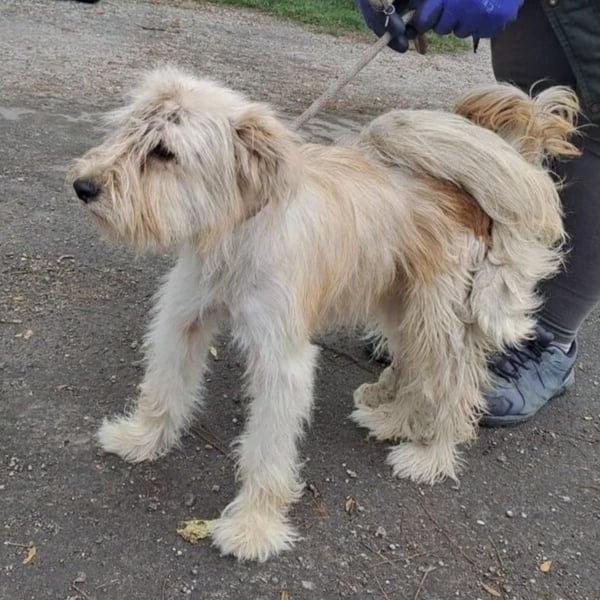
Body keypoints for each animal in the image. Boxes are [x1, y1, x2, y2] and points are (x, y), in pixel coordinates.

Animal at [69, 68, 579, 561]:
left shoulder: (281, 361)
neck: (237, 233)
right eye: (127, 130)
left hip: (436, 318)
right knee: (416, 369)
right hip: (401, 307)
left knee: (453, 383)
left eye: (164, 153)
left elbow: (267, 449)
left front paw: (253, 526)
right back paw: (395, 419)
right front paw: (141, 439)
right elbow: (163, 388)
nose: (83, 186)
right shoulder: (184, 319)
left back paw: (432, 455)